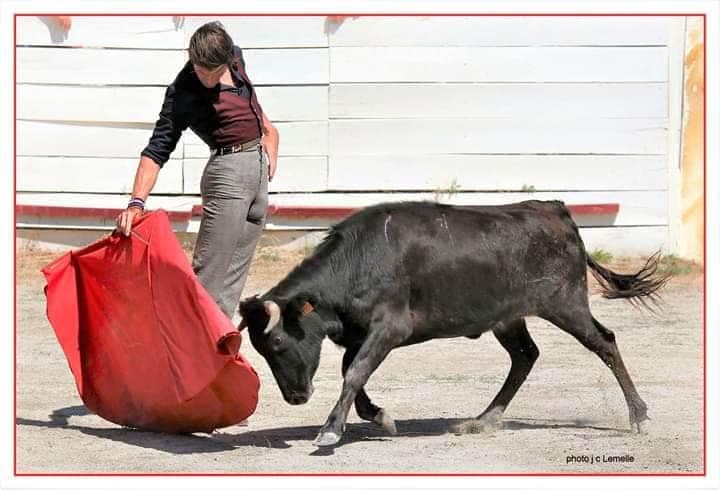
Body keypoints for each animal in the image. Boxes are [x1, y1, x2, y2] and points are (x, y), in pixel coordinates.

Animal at [239, 201, 668, 446]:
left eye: (277, 343)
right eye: (258, 350)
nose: (296, 397)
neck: (357, 262)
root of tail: (556, 210)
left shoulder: (390, 328)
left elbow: (355, 371)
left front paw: (330, 430)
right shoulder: (362, 334)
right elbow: (353, 373)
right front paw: (380, 417)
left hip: (565, 304)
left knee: (605, 342)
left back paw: (640, 416)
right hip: (508, 318)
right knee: (525, 355)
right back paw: (484, 419)